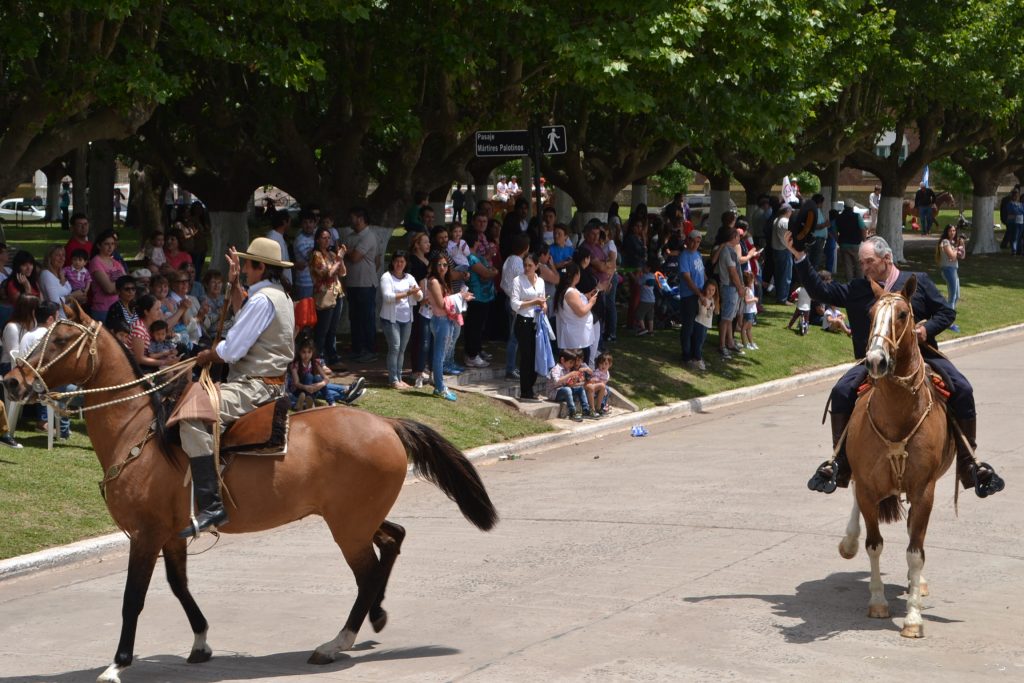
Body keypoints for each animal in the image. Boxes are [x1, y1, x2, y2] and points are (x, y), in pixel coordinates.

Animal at [3, 305, 499, 683]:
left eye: (59, 340)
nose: (12, 381)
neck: (136, 432)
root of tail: (388, 423)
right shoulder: (172, 535)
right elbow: (179, 587)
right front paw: (201, 641)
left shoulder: (144, 536)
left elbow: (133, 599)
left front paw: (117, 664)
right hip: (359, 519)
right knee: (393, 541)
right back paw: (373, 617)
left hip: (349, 528)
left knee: (368, 573)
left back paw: (336, 642)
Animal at [835, 274, 954, 638]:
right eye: (871, 313)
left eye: (903, 314)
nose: (875, 361)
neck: (898, 413)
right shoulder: (867, 487)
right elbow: (874, 543)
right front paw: (877, 602)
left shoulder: (924, 489)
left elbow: (916, 551)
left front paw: (913, 618)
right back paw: (848, 541)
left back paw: (919, 583)